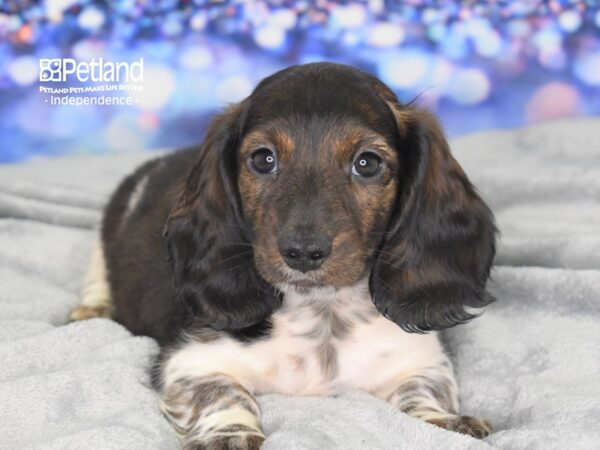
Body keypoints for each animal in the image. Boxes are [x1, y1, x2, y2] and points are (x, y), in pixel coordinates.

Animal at [70, 61, 496, 448]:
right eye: (263, 159)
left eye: (367, 163)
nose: (303, 252)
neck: (323, 315)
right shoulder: (190, 359)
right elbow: (221, 393)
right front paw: (229, 434)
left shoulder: (420, 359)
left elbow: (421, 391)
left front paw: (444, 421)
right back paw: (91, 309)